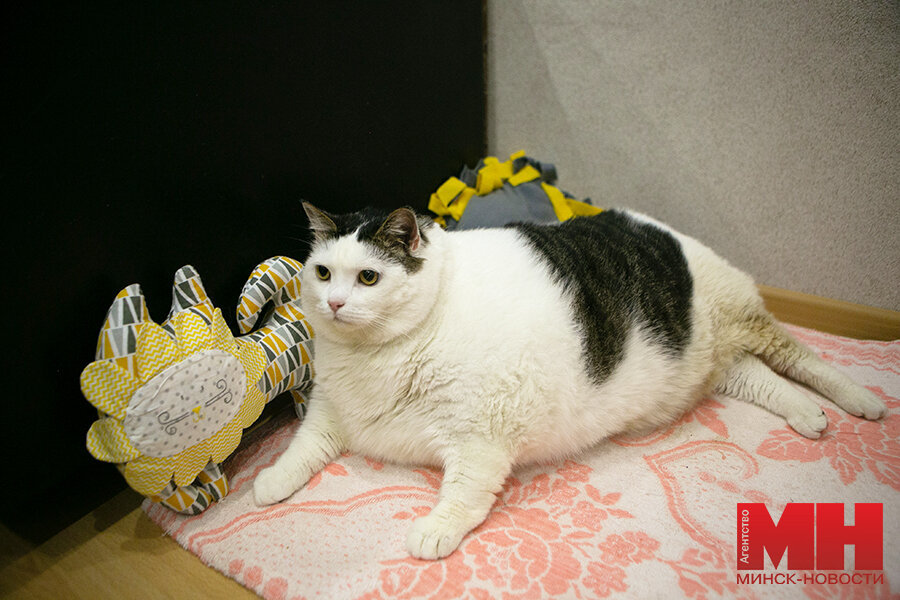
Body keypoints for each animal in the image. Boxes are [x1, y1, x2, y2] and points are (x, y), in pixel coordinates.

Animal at [253, 202, 884, 556]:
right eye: (321, 272)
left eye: (368, 277)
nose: (334, 304)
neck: (378, 356)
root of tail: (649, 224)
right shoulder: (331, 412)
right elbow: (302, 448)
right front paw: (271, 482)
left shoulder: (484, 436)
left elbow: (465, 493)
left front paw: (436, 530)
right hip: (707, 361)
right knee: (760, 376)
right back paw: (806, 414)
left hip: (743, 315)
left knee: (801, 357)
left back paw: (859, 401)